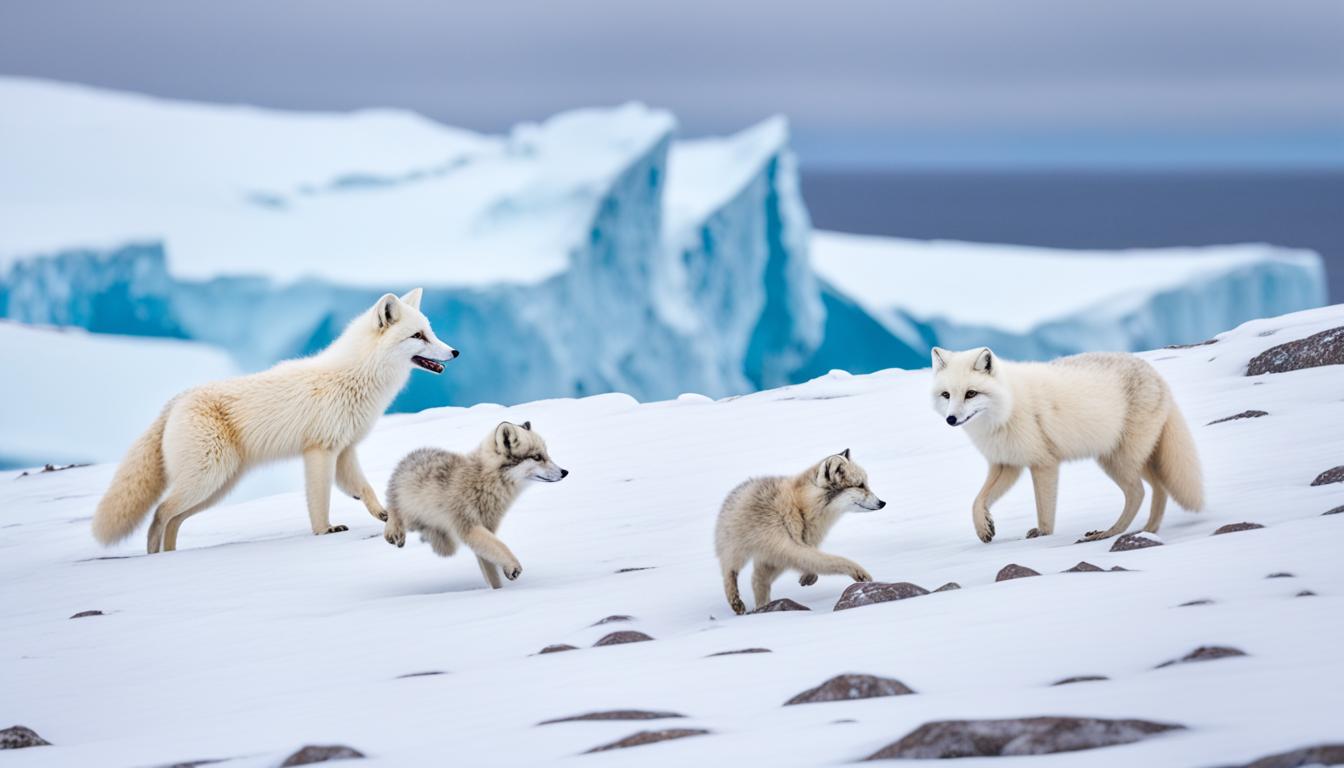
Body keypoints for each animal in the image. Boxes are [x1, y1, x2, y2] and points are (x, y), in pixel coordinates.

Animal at [90, 287, 456, 554]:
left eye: (431, 331)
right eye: (418, 335)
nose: (455, 352)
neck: (355, 378)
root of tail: (177, 401)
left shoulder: (344, 450)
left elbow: (362, 488)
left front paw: (384, 514)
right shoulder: (320, 451)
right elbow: (319, 499)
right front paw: (325, 531)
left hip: (217, 486)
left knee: (173, 520)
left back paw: (169, 555)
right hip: (207, 478)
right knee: (160, 513)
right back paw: (155, 557)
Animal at [384, 419, 567, 589]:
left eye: (546, 454)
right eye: (537, 457)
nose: (565, 472)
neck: (484, 481)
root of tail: (410, 456)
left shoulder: (485, 529)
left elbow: (492, 567)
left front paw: (498, 591)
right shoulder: (468, 526)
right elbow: (500, 546)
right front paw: (512, 567)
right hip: (411, 515)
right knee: (393, 511)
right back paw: (394, 531)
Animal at [715, 454, 881, 616]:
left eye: (865, 484)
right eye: (860, 485)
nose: (882, 503)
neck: (800, 507)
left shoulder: (798, 547)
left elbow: (816, 562)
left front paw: (809, 576)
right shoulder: (789, 547)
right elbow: (832, 561)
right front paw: (859, 572)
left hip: (773, 561)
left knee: (758, 580)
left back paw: (763, 607)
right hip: (738, 551)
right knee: (730, 572)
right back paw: (736, 601)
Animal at [930, 344, 1204, 543]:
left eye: (971, 393)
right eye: (946, 395)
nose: (951, 419)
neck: (1007, 407)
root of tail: (1159, 378)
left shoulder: (1043, 463)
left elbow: (1044, 508)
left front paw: (1043, 534)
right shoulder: (1006, 464)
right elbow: (977, 501)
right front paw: (984, 527)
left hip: (1119, 460)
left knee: (1139, 493)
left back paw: (1110, 532)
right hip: (1132, 459)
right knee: (1159, 489)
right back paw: (1146, 530)